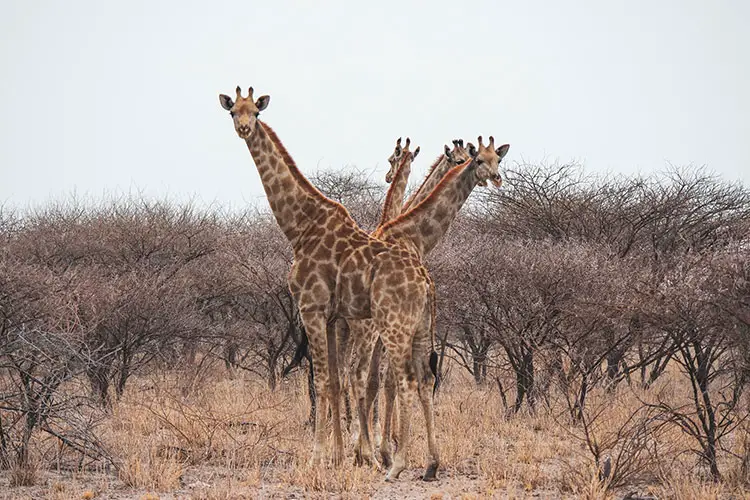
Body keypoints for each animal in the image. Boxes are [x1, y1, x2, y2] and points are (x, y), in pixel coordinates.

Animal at [220, 87, 438, 480]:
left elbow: (321, 381)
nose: (243, 128)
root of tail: (425, 280)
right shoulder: (334, 317)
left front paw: (318, 457)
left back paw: (394, 462)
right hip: (415, 328)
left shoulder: (312, 308)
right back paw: (427, 463)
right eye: (233, 112)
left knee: (401, 380)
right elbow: (336, 382)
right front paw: (339, 456)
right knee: (419, 378)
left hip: (393, 325)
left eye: (255, 112)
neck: (299, 227)